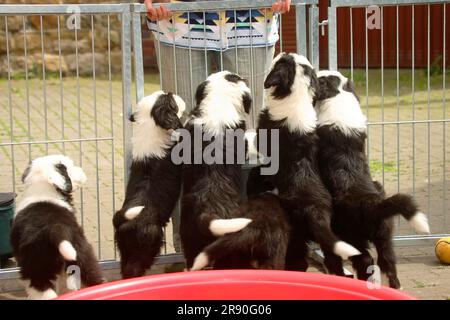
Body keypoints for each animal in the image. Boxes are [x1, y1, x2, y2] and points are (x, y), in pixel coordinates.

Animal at [11, 155, 103, 300]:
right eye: (71, 167)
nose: (82, 171)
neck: (43, 191)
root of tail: (55, 228)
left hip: (36, 267)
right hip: (80, 255)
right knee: (93, 279)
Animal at [113, 90, 185, 278]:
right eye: (169, 99)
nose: (172, 91)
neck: (149, 127)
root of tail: (124, 220)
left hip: (125, 248)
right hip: (149, 241)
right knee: (136, 266)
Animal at [253, 52, 362, 272]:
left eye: (281, 61)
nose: (282, 51)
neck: (297, 96)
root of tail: (317, 213)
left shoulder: (262, 132)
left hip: (297, 234)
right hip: (327, 242)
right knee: (332, 261)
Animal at [314, 70, 430, 290]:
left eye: (319, 78)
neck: (339, 96)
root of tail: (373, 205)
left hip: (351, 235)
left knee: (363, 259)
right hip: (384, 235)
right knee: (387, 260)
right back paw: (395, 286)